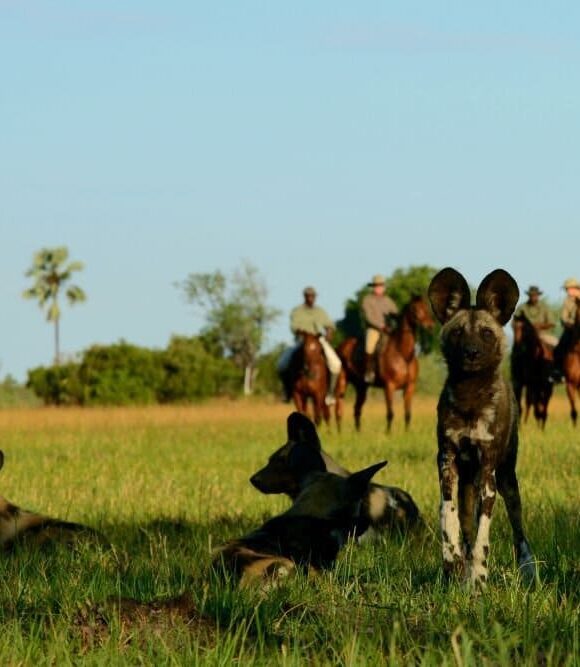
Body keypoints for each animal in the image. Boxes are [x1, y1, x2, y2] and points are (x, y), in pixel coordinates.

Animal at [336, 294, 436, 430]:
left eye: (426, 306)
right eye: (415, 309)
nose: (430, 325)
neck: (402, 354)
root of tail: (341, 346)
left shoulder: (410, 387)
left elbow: (408, 414)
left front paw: (406, 432)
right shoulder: (389, 386)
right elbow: (390, 413)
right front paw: (388, 433)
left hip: (361, 387)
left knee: (357, 409)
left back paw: (357, 432)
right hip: (342, 382)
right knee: (338, 408)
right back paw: (338, 432)